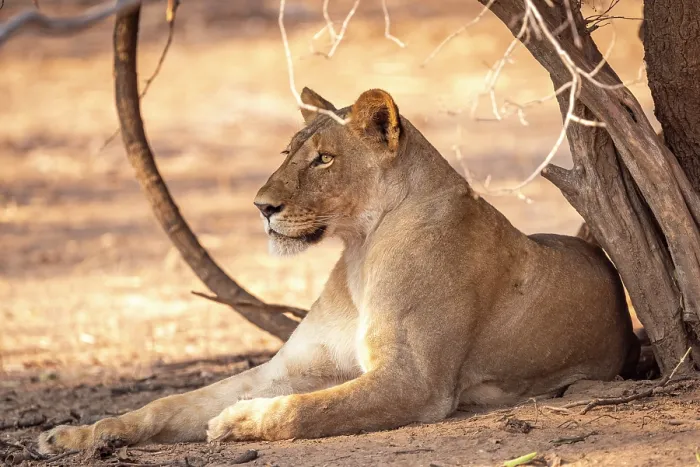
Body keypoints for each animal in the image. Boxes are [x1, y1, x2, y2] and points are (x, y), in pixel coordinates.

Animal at [38, 88, 639, 453]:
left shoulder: (414, 382)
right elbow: (170, 403)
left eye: (324, 159)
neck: (359, 249)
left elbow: (304, 412)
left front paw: (237, 421)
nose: (261, 207)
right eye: (287, 152)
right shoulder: (288, 368)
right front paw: (79, 435)